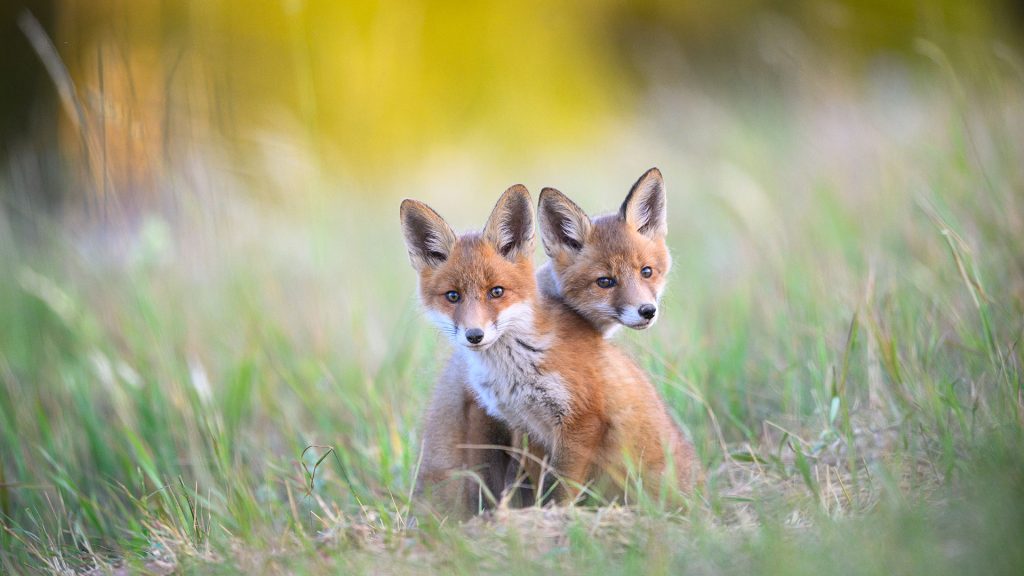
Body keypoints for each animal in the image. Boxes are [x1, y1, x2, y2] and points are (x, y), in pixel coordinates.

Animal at [402, 183, 698, 515]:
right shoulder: (523, 426)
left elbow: (559, 490)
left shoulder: (579, 421)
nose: (474, 335)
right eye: (452, 296)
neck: (516, 363)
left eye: (496, 292)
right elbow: (539, 486)